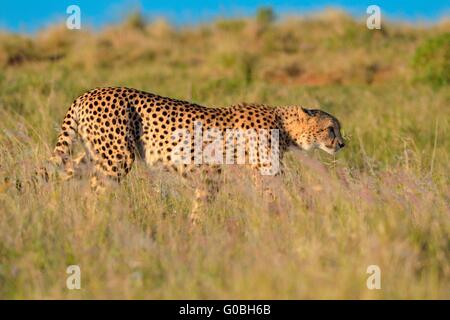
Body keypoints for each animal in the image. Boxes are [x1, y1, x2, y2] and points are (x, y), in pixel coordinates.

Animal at [49, 87, 344, 221]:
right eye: (331, 128)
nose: (342, 143)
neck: (283, 125)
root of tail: (87, 93)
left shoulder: (216, 174)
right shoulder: (254, 176)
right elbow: (279, 199)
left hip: (96, 153)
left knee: (66, 171)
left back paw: (52, 209)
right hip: (117, 157)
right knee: (94, 191)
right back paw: (95, 222)